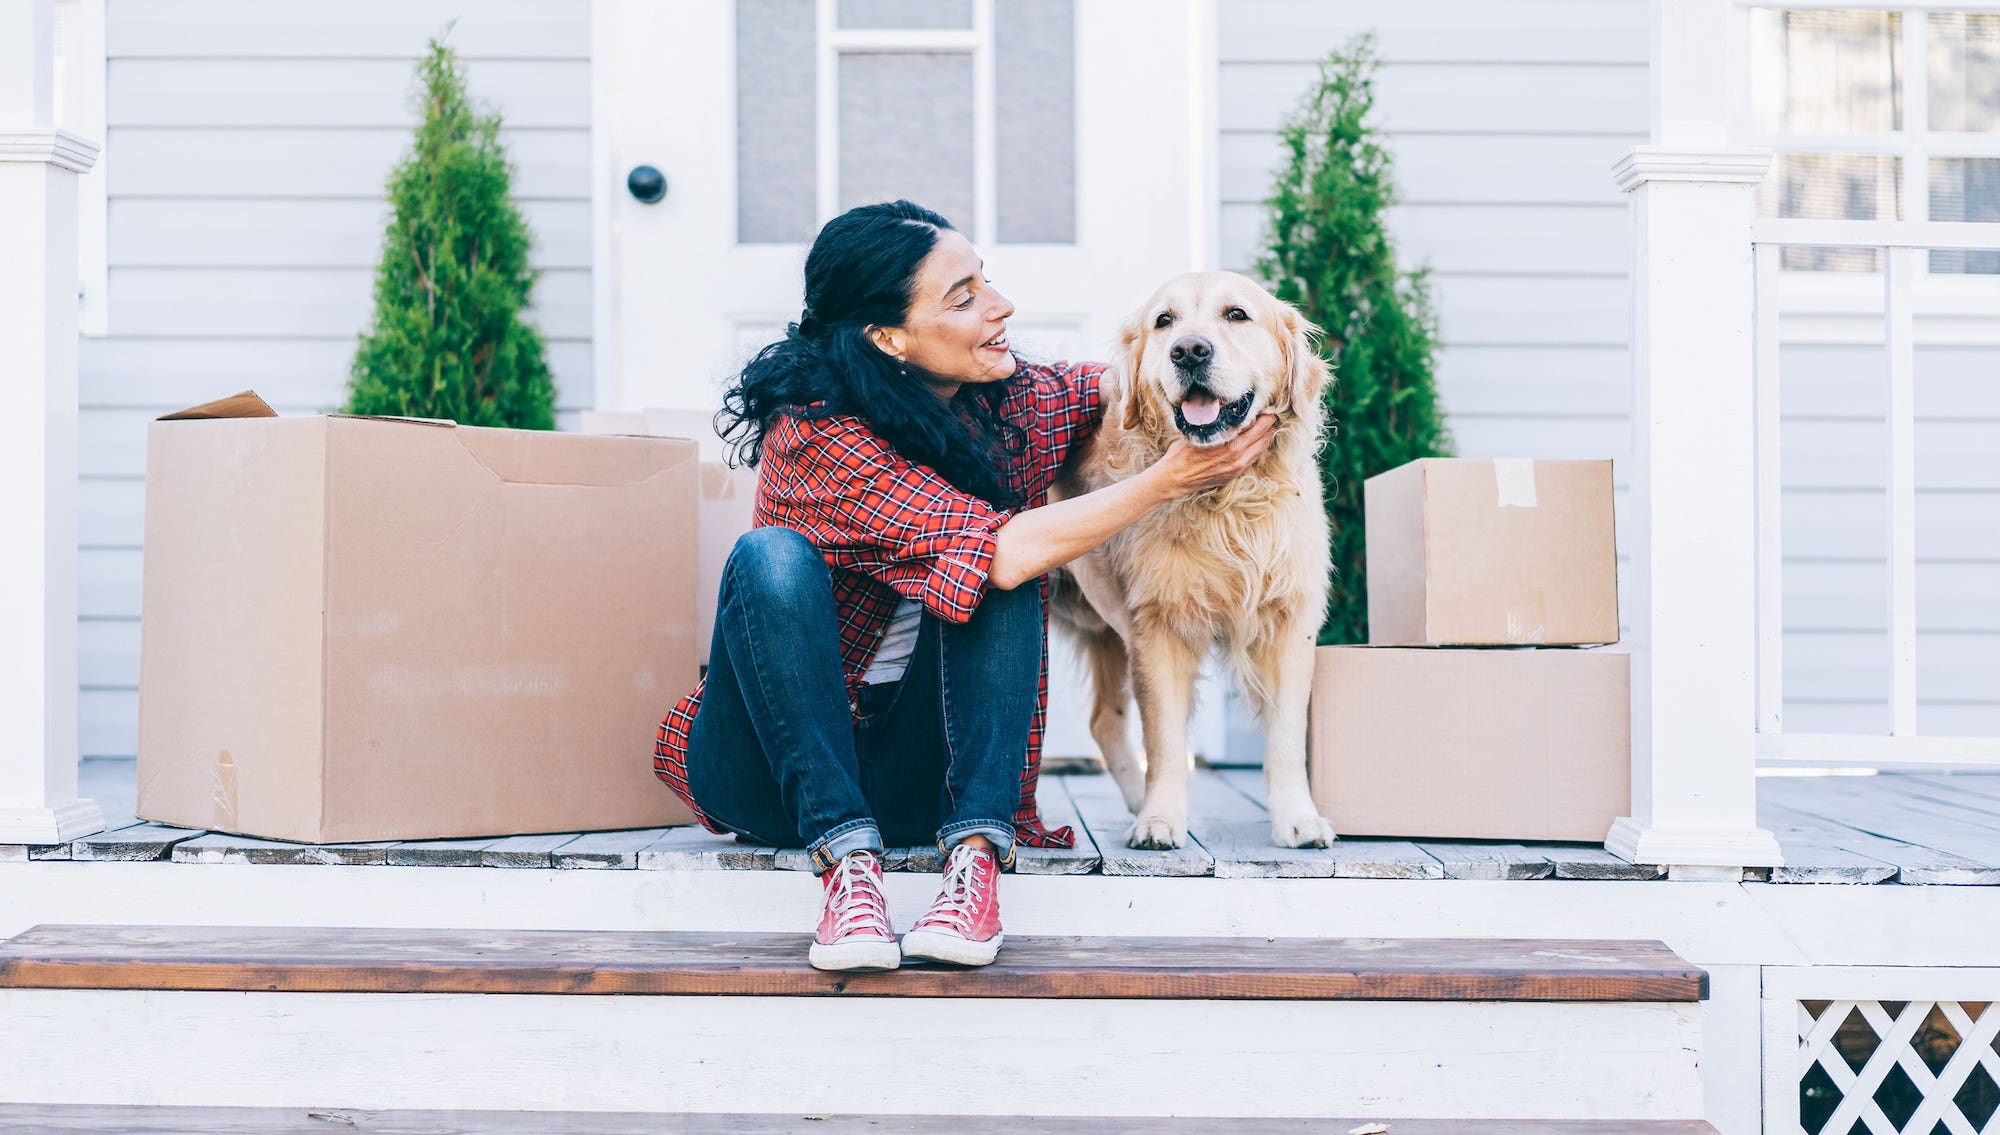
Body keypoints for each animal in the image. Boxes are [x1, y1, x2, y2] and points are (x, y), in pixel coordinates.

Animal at [1056, 269, 1336, 847]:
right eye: (1164, 321)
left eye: (1237, 314)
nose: (1189, 350)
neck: (1226, 500)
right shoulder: (1155, 625)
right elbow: (1164, 740)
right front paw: (1161, 820)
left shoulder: (1291, 621)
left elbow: (1286, 737)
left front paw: (1297, 819)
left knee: (1104, 721)